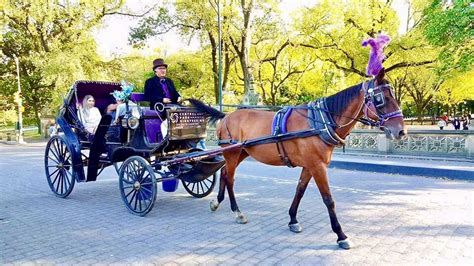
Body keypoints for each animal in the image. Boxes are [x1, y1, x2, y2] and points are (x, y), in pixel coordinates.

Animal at [187, 68, 406, 249]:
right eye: (380, 98)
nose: (401, 131)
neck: (320, 123)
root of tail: (227, 116)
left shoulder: (309, 166)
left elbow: (299, 191)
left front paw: (293, 220)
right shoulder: (318, 166)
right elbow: (328, 200)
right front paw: (341, 235)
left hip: (241, 152)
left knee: (224, 173)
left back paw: (217, 202)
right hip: (232, 153)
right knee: (230, 178)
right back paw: (237, 211)